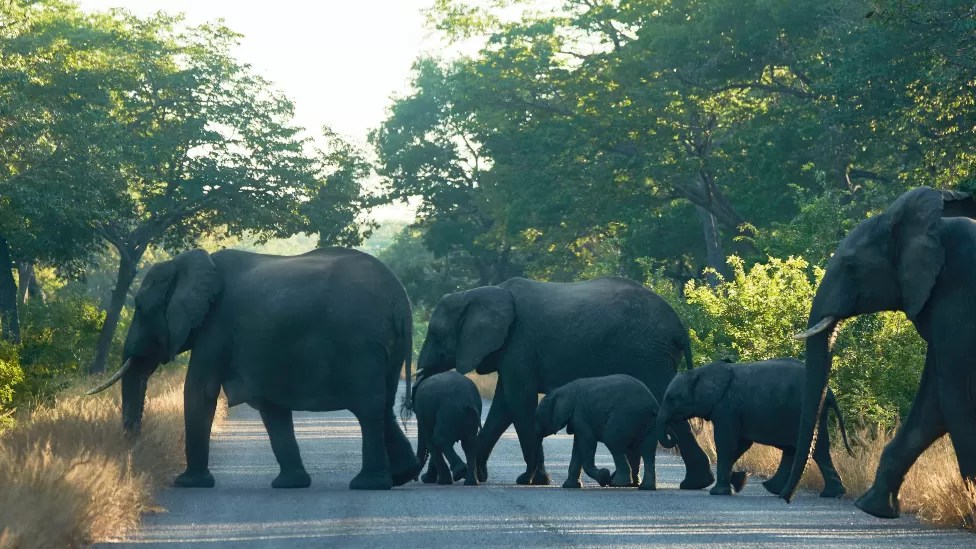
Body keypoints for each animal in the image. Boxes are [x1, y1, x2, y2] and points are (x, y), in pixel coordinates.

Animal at [86, 247, 421, 490]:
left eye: (141, 307)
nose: (131, 449)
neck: (189, 263)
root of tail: (401, 301)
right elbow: (270, 405)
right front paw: (290, 485)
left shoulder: (216, 325)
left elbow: (200, 390)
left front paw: (187, 484)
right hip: (385, 349)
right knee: (383, 405)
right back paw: (401, 476)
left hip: (359, 343)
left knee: (368, 408)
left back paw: (368, 484)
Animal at [535, 374, 671, 490]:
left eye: (540, 413)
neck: (561, 390)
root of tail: (653, 404)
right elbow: (578, 447)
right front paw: (570, 486)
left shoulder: (580, 413)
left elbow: (587, 443)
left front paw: (603, 476)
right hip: (649, 423)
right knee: (647, 449)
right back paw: (644, 487)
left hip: (625, 417)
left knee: (613, 441)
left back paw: (618, 483)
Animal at [657, 359, 854, 497]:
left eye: (671, 399)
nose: (670, 433)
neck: (700, 372)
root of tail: (830, 393)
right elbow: (740, 445)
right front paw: (739, 481)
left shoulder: (727, 408)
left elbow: (726, 443)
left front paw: (720, 491)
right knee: (798, 449)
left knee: (814, 448)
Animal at [782, 186, 976, 518]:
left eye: (851, 267)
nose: (785, 497)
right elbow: (933, 403)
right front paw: (872, 508)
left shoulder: (957, 298)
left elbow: (954, 398)